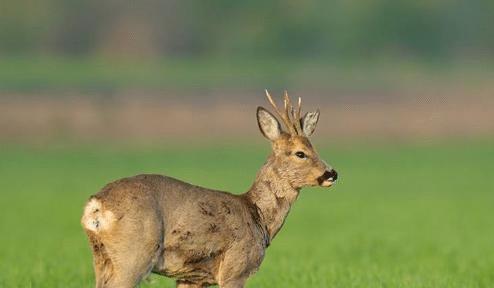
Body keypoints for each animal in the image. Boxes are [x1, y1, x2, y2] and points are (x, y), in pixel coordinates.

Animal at [82, 91, 336, 288]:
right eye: (300, 153)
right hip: (134, 253)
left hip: (101, 257)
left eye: (314, 148)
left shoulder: (192, 277)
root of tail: (96, 205)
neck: (258, 217)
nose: (332, 173)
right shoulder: (235, 268)